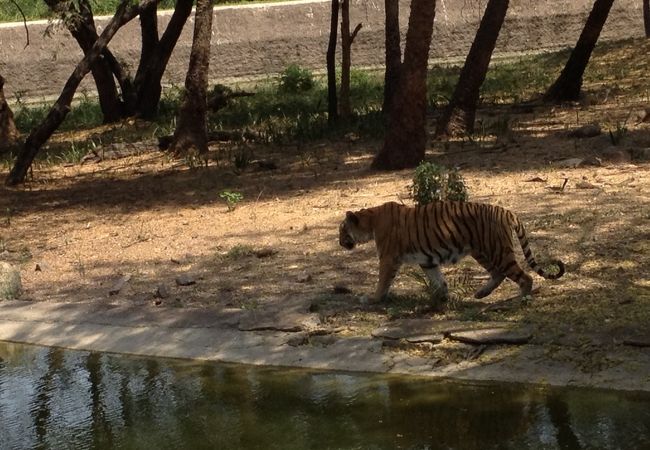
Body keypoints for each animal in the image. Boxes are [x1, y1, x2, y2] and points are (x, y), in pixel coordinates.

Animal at [340, 202, 560, 304]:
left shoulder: (388, 258)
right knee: (498, 273)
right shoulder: (427, 261)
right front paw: (440, 298)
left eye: (343, 230)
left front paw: (372, 299)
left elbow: (383, 281)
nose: (340, 242)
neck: (370, 221)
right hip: (481, 251)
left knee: (524, 276)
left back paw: (523, 299)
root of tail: (507, 211)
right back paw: (481, 293)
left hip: (497, 250)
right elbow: (438, 280)